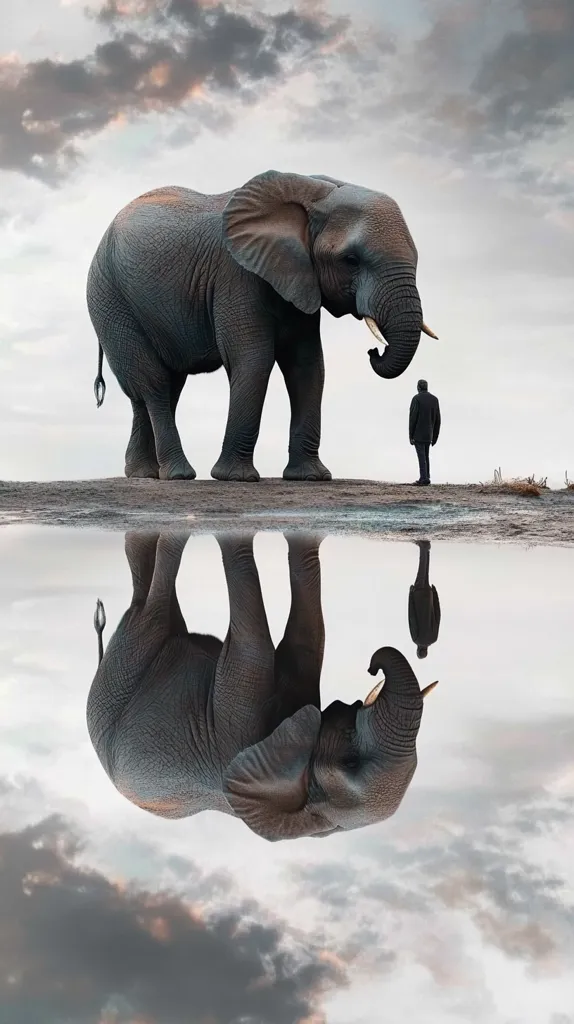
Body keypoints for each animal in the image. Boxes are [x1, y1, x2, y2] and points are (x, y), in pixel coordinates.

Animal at [86, 170, 438, 482]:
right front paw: (235, 479)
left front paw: (310, 478)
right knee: (155, 384)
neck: (313, 193)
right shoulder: (237, 276)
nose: (373, 351)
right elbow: (254, 359)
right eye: (351, 260)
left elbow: (308, 365)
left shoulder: (300, 280)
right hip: (110, 300)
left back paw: (144, 474)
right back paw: (178, 475)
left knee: (158, 387)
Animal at [87, 530, 437, 842]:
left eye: (350, 762)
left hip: (129, 659)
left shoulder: (233, 730)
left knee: (152, 609)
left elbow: (254, 642)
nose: (373, 663)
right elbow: (308, 633)